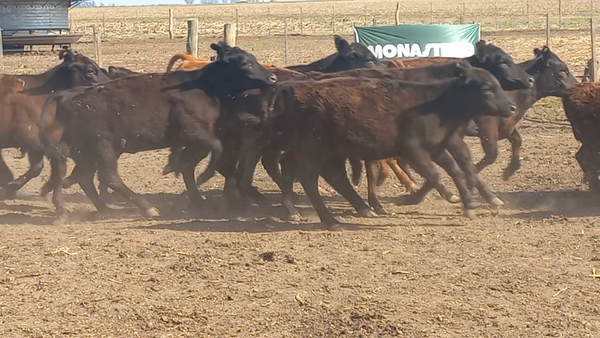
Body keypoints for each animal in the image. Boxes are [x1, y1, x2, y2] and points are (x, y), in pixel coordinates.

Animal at [266, 64, 516, 226]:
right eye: (487, 88)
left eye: (497, 84)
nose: (512, 107)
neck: (436, 103)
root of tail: (295, 92)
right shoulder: (414, 150)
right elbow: (435, 176)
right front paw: (409, 198)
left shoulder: (437, 148)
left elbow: (455, 170)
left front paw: (468, 205)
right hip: (313, 148)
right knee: (308, 178)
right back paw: (330, 219)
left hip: (324, 150)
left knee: (322, 174)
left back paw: (360, 208)